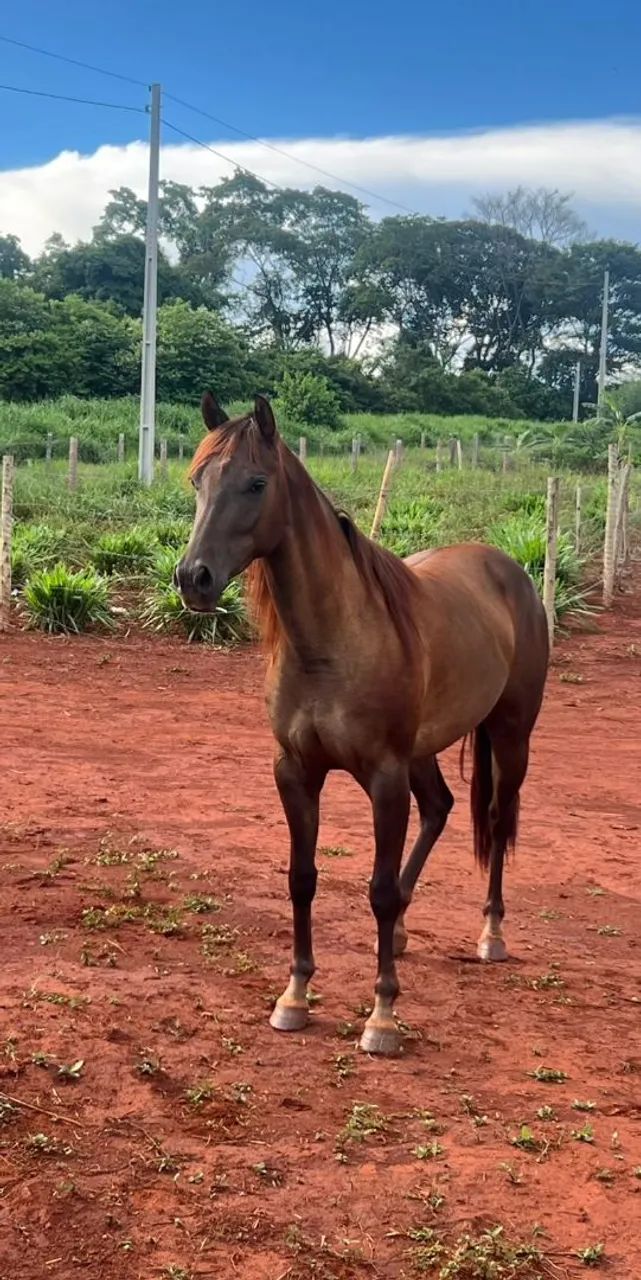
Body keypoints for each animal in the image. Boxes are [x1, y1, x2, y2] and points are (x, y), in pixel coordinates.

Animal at [176, 392, 549, 1056]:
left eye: (255, 483)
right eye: (198, 480)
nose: (193, 578)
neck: (332, 642)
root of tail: (510, 571)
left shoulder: (383, 777)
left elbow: (374, 889)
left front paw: (383, 1016)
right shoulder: (296, 772)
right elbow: (302, 878)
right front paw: (295, 996)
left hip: (510, 737)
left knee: (496, 819)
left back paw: (491, 936)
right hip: (425, 753)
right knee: (440, 808)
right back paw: (402, 928)